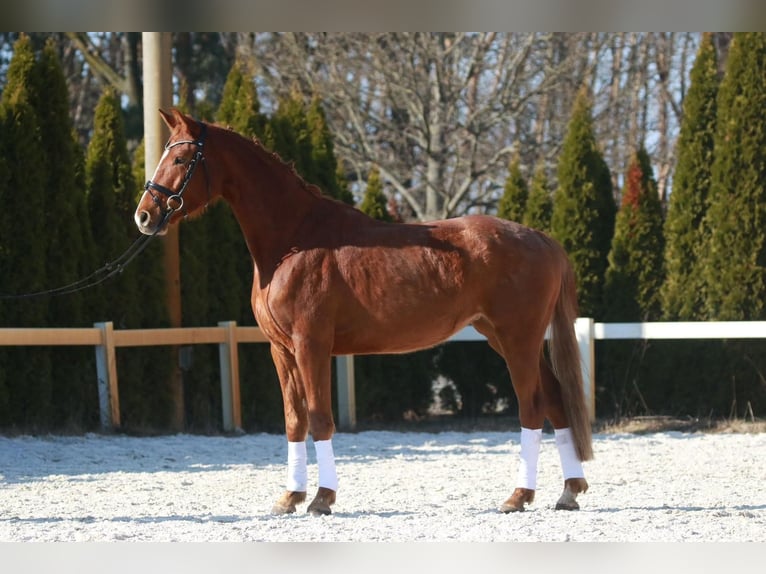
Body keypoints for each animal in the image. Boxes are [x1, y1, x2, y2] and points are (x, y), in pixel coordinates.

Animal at [135, 108, 594, 516]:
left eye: (180, 159)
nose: (144, 215)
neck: (294, 241)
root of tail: (541, 239)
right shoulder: (281, 351)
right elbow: (294, 421)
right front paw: (290, 498)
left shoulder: (312, 346)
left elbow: (320, 419)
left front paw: (322, 499)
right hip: (505, 337)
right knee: (556, 400)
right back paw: (568, 492)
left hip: (518, 340)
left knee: (532, 407)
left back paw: (518, 496)